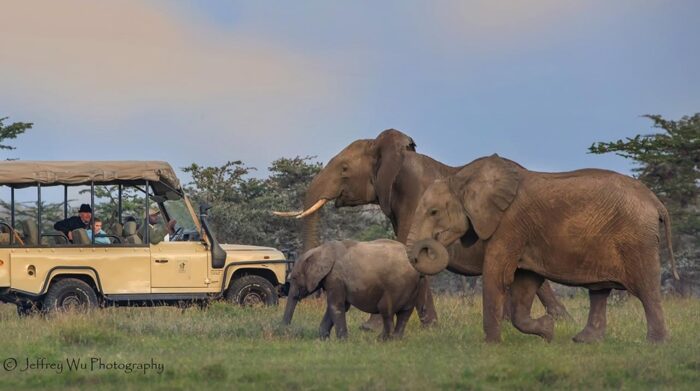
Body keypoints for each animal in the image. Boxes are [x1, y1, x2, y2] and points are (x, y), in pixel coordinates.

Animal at [282, 239, 424, 340]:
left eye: (294, 277)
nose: (285, 332)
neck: (320, 250)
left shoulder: (336, 277)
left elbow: (335, 305)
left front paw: (342, 341)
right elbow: (339, 306)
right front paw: (323, 339)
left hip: (396, 286)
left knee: (386, 310)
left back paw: (382, 340)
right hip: (412, 288)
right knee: (405, 313)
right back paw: (396, 339)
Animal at [404, 154, 680, 344]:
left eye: (434, 212)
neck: (463, 177)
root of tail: (655, 201)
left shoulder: (509, 225)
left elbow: (496, 275)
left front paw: (491, 345)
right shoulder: (525, 234)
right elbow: (525, 283)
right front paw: (548, 332)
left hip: (636, 240)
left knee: (646, 288)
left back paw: (656, 343)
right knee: (599, 291)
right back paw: (584, 341)